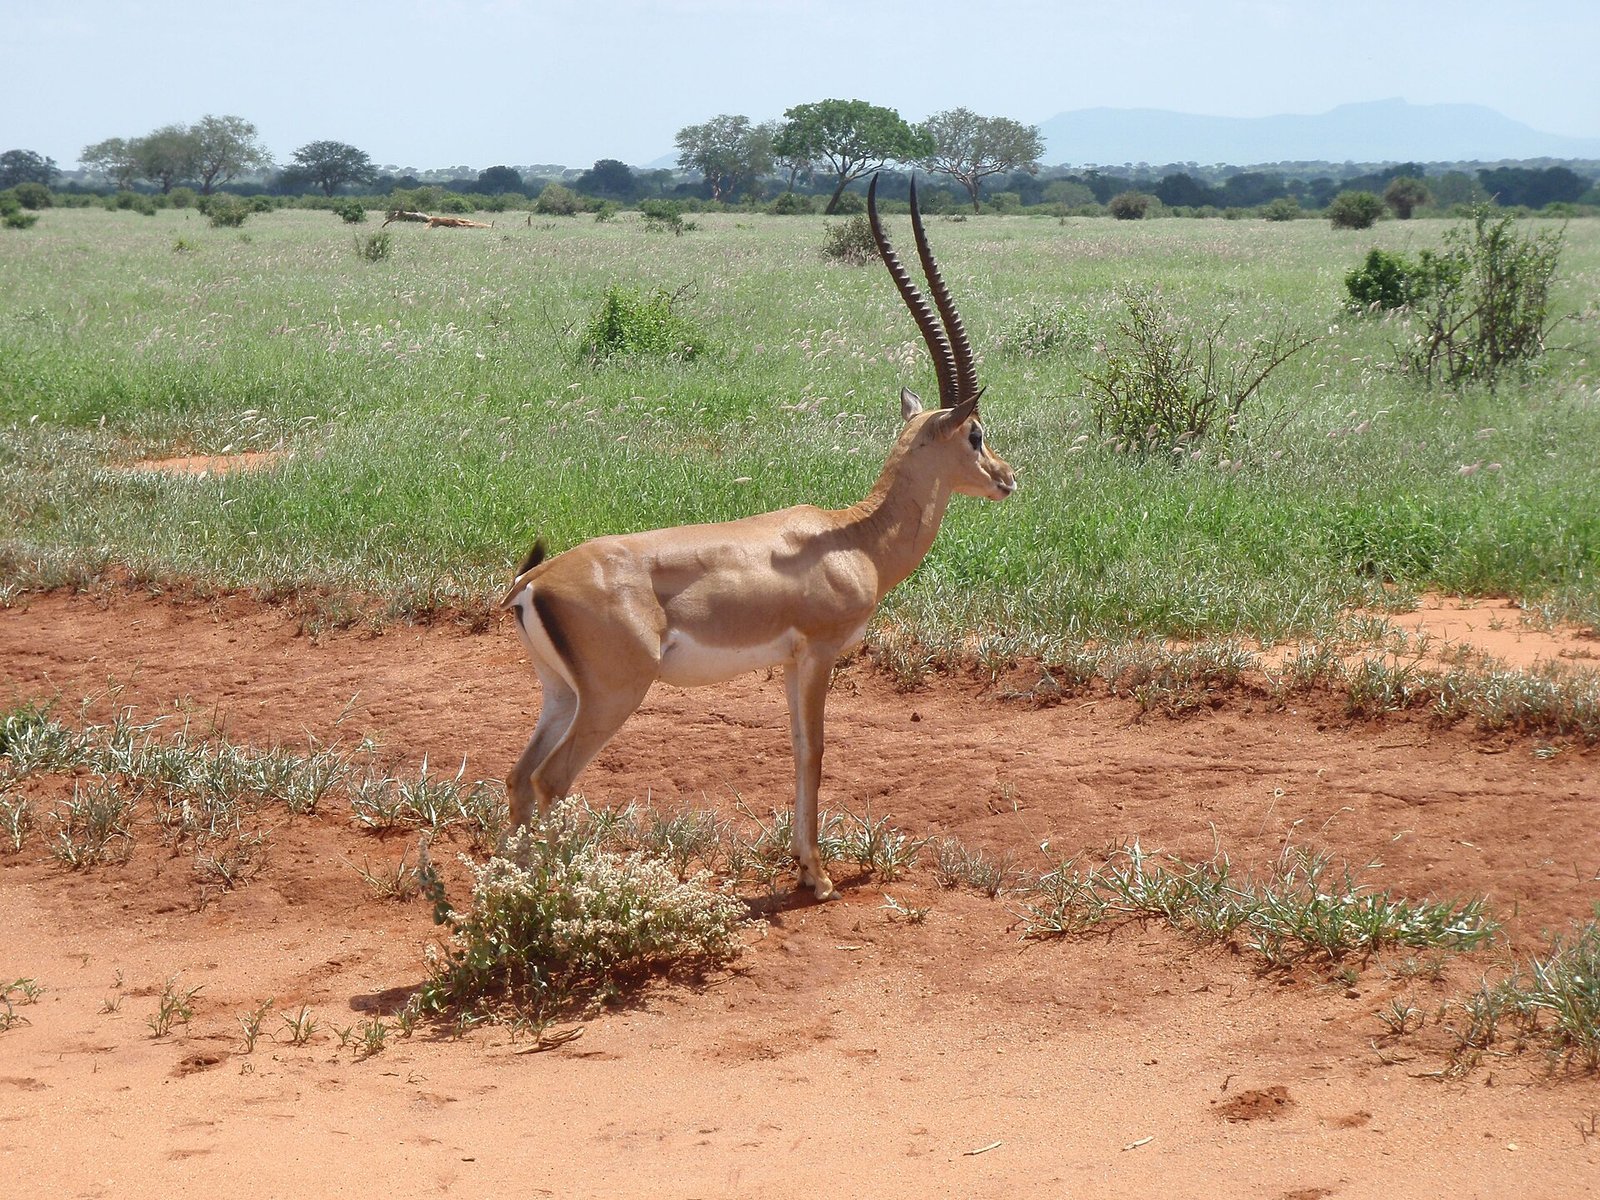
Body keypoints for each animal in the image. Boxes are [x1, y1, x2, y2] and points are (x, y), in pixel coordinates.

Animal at [501, 175, 1015, 900]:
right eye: (975, 433)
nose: (1005, 478)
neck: (854, 540)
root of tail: (534, 581)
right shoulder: (819, 654)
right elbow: (815, 750)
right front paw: (817, 878)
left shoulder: (792, 663)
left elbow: (797, 747)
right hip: (612, 696)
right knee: (551, 780)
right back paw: (552, 895)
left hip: (559, 694)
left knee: (519, 778)